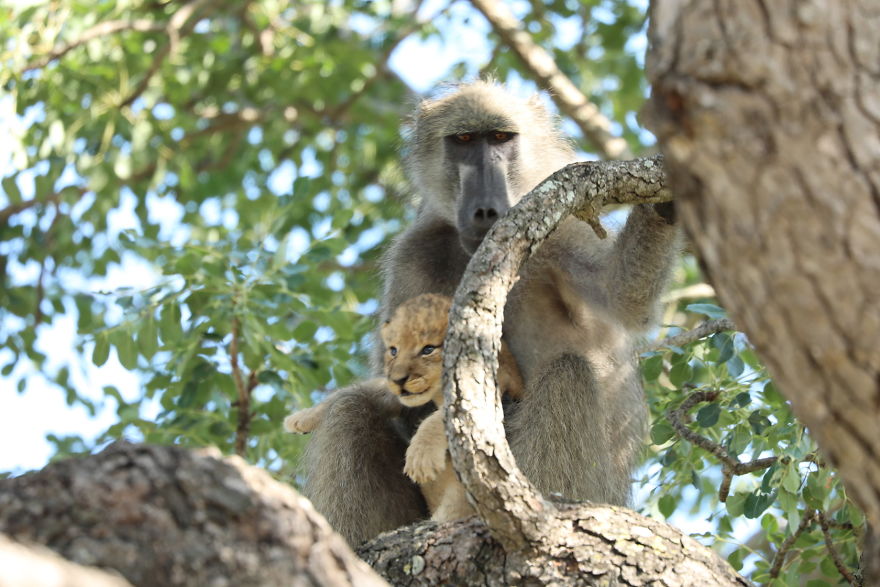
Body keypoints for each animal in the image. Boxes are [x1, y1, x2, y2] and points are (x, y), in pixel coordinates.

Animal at [301, 81, 679, 546]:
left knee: (569, 373)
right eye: (464, 140)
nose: (485, 210)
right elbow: (392, 375)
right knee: (350, 410)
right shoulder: (415, 253)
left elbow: (624, 297)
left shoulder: (560, 227)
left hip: (597, 488)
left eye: (500, 138)